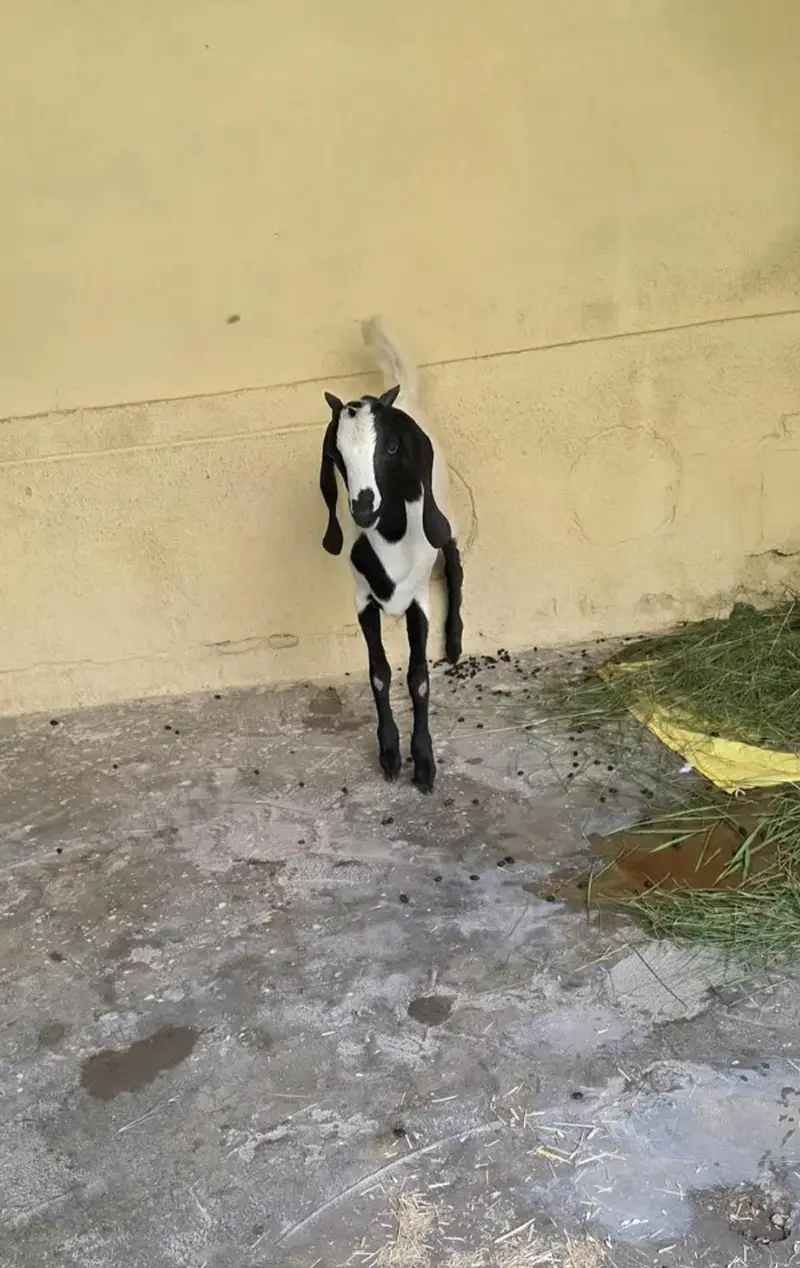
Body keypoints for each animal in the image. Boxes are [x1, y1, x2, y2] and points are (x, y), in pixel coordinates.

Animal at [319, 316, 463, 793]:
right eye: (335, 454)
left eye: (392, 448)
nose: (363, 507)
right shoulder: (362, 600)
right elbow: (379, 673)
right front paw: (389, 754)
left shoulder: (419, 602)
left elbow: (418, 679)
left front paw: (424, 763)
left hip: (446, 513)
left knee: (454, 562)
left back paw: (455, 641)